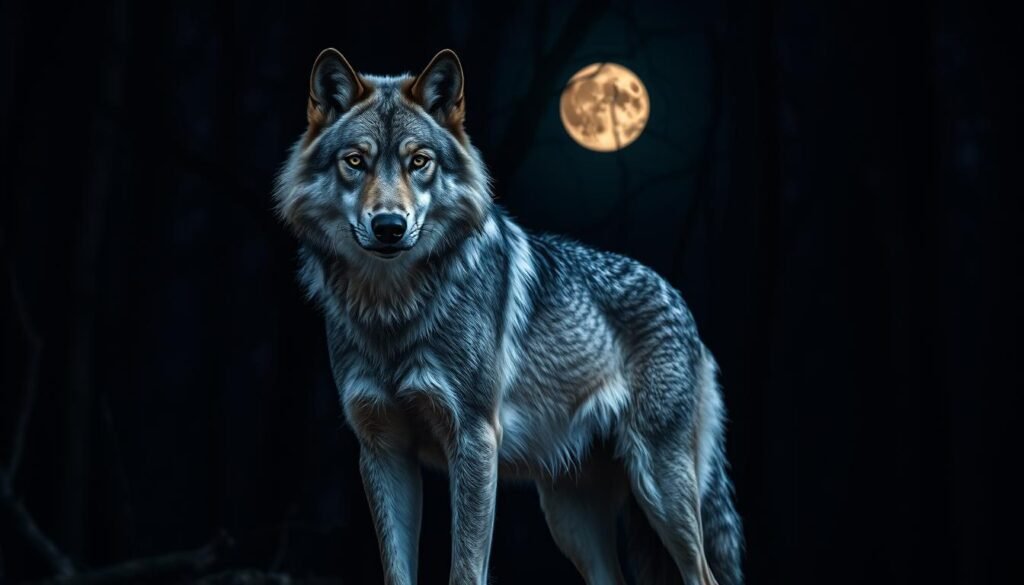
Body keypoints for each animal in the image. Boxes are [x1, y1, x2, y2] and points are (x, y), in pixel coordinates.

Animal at [274, 48, 743, 585]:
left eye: (419, 162)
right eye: (356, 161)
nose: (389, 226)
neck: (393, 310)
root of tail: (683, 305)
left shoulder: (475, 439)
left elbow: (465, 568)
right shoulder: (382, 449)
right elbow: (396, 571)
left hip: (659, 489)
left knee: (703, 574)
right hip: (570, 519)